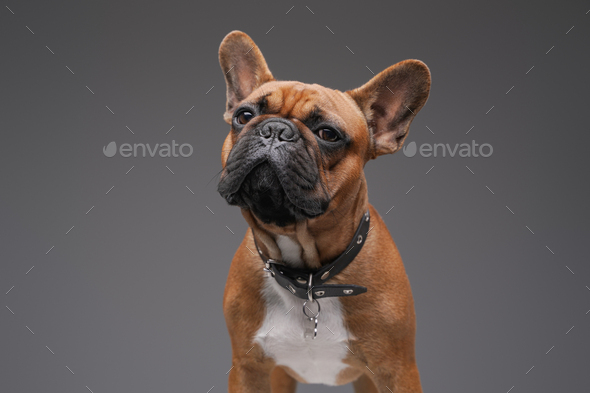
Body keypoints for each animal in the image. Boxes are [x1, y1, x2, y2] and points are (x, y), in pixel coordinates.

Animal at [217, 29, 430, 390]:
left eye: (328, 134)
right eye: (244, 116)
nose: (275, 129)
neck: (308, 278)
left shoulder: (397, 370)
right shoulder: (248, 369)